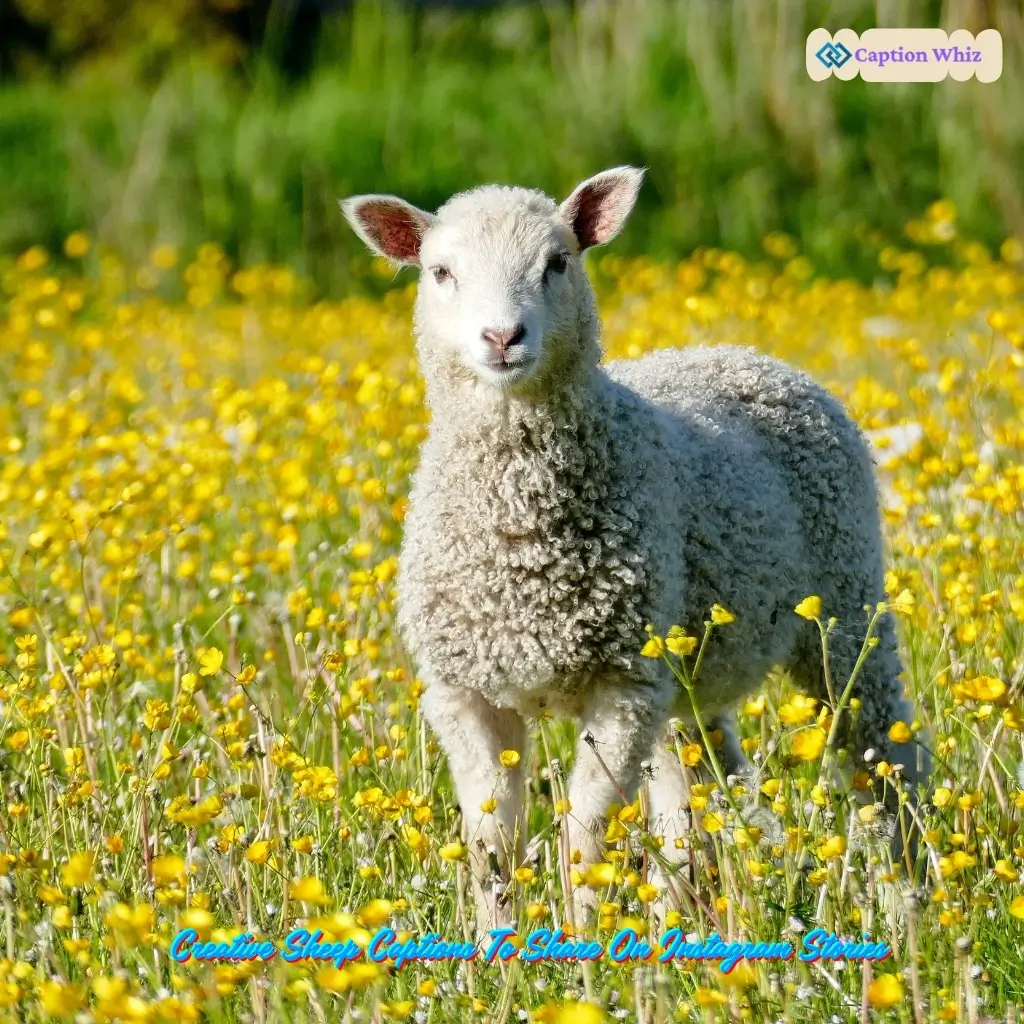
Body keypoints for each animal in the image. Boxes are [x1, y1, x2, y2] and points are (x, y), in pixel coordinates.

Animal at [341, 167, 928, 934]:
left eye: (557, 263)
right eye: (440, 272)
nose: (502, 337)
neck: (520, 539)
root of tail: (744, 355)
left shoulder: (622, 685)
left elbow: (586, 833)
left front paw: (582, 936)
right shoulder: (465, 691)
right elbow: (493, 841)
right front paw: (497, 945)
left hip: (846, 605)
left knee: (881, 755)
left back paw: (912, 906)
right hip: (690, 671)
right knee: (702, 788)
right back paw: (702, 917)